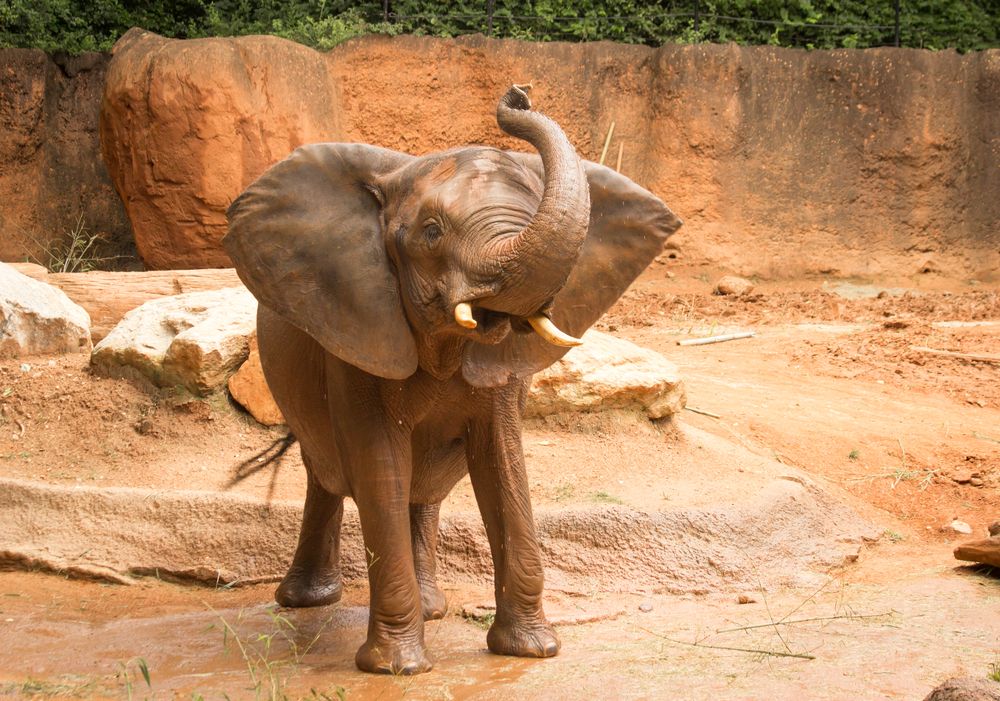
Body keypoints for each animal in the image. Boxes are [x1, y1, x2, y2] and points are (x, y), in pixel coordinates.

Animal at [223, 85, 681, 675]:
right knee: (327, 473)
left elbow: (502, 460)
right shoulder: (356, 329)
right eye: (431, 232)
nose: (517, 94)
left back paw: (431, 608)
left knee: (423, 490)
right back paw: (307, 602)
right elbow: (380, 464)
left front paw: (532, 649)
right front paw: (397, 668)